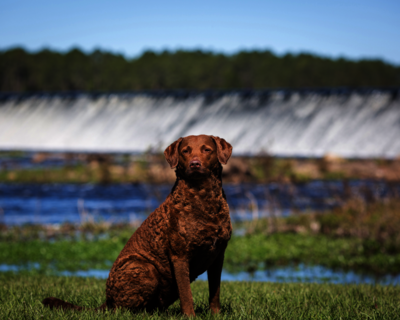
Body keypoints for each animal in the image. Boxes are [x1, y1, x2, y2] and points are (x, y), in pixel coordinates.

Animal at [42, 134, 233, 316]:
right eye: (185, 151)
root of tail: (108, 300)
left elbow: (215, 292)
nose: (194, 164)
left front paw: (216, 314)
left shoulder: (218, 255)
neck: (203, 198)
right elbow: (186, 294)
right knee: (125, 309)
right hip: (144, 267)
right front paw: (190, 316)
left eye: (207, 150)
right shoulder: (180, 256)